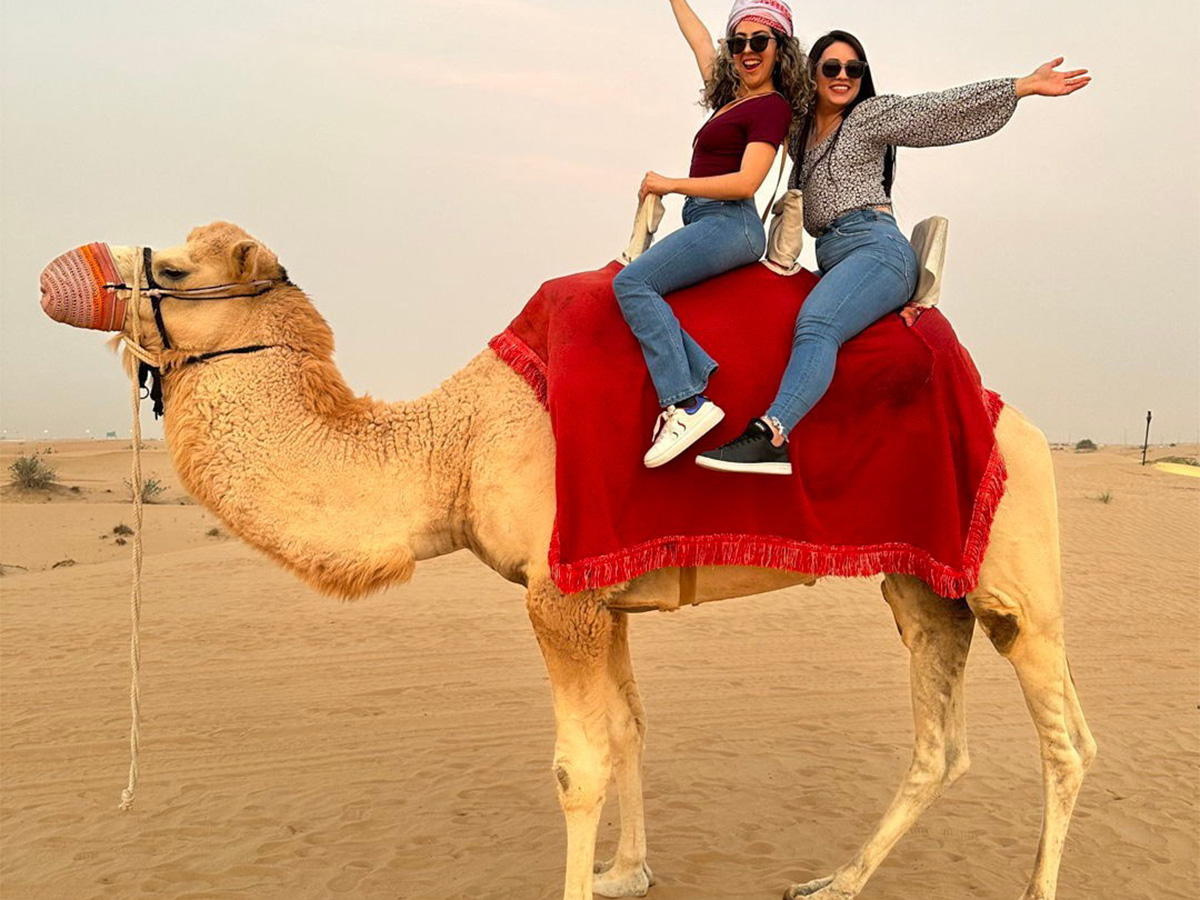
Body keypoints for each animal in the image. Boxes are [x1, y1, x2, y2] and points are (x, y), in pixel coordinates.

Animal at [42, 222, 1095, 900]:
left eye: (173, 266)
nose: (65, 275)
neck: (455, 444)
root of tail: (1014, 416)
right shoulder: (603, 595)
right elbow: (629, 728)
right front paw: (628, 871)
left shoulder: (559, 594)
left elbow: (575, 766)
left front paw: (591, 876)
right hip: (923, 583)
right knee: (940, 740)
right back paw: (834, 881)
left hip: (1016, 578)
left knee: (1066, 740)